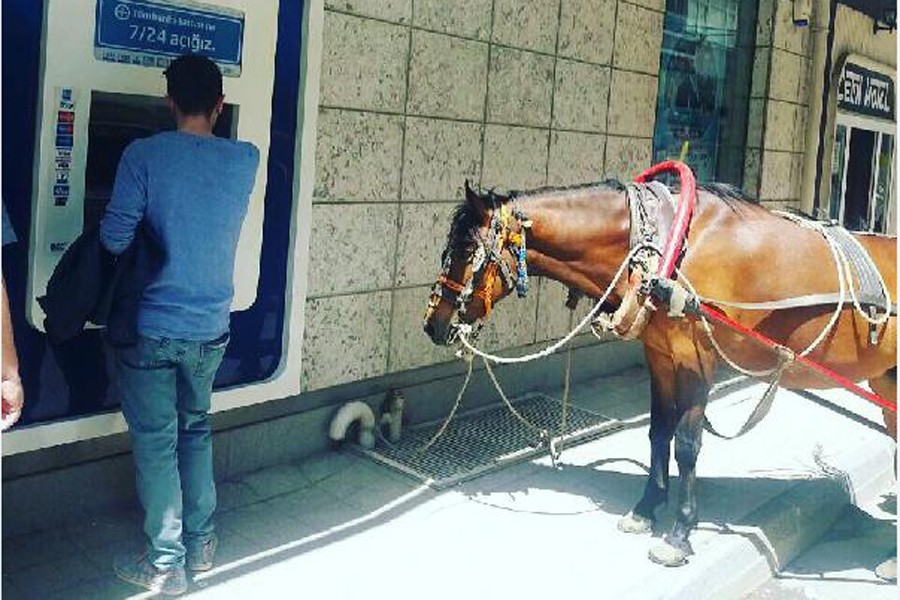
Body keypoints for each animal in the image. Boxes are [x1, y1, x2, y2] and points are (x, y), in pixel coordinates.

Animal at [424, 177, 900, 568]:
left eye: (465, 251)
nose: (433, 323)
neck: (666, 251)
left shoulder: (695, 358)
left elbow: (687, 445)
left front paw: (680, 532)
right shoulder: (660, 357)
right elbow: (658, 433)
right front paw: (646, 507)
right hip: (887, 381)